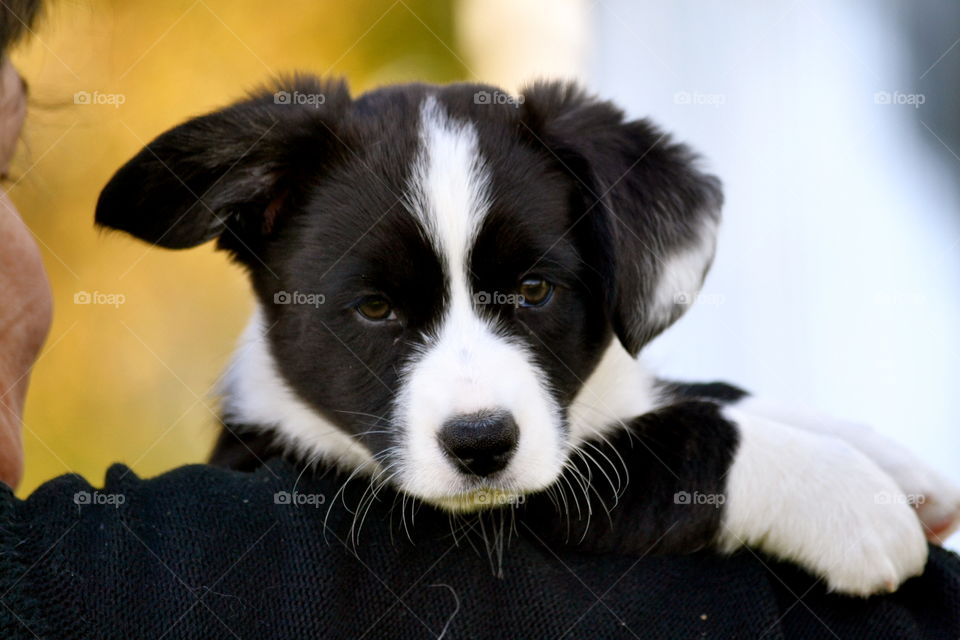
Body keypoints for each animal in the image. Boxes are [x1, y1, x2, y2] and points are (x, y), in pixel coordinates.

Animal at [95, 77, 960, 596]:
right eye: (374, 309)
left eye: (535, 291)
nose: (480, 444)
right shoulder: (493, 512)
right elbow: (681, 437)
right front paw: (851, 501)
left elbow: (695, 395)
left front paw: (886, 460)